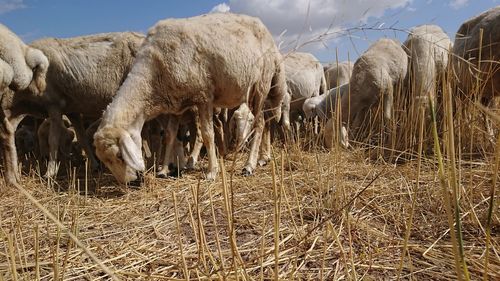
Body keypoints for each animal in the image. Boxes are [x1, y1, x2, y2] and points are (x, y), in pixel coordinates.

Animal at [93, 13, 286, 184]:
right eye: (106, 161)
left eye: (120, 155)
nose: (130, 183)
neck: (152, 78)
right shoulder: (175, 103)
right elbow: (169, 136)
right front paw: (164, 170)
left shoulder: (204, 96)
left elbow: (207, 135)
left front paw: (212, 172)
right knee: (266, 122)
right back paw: (263, 158)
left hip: (260, 86)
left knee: (260, 123)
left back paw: (249, 165)